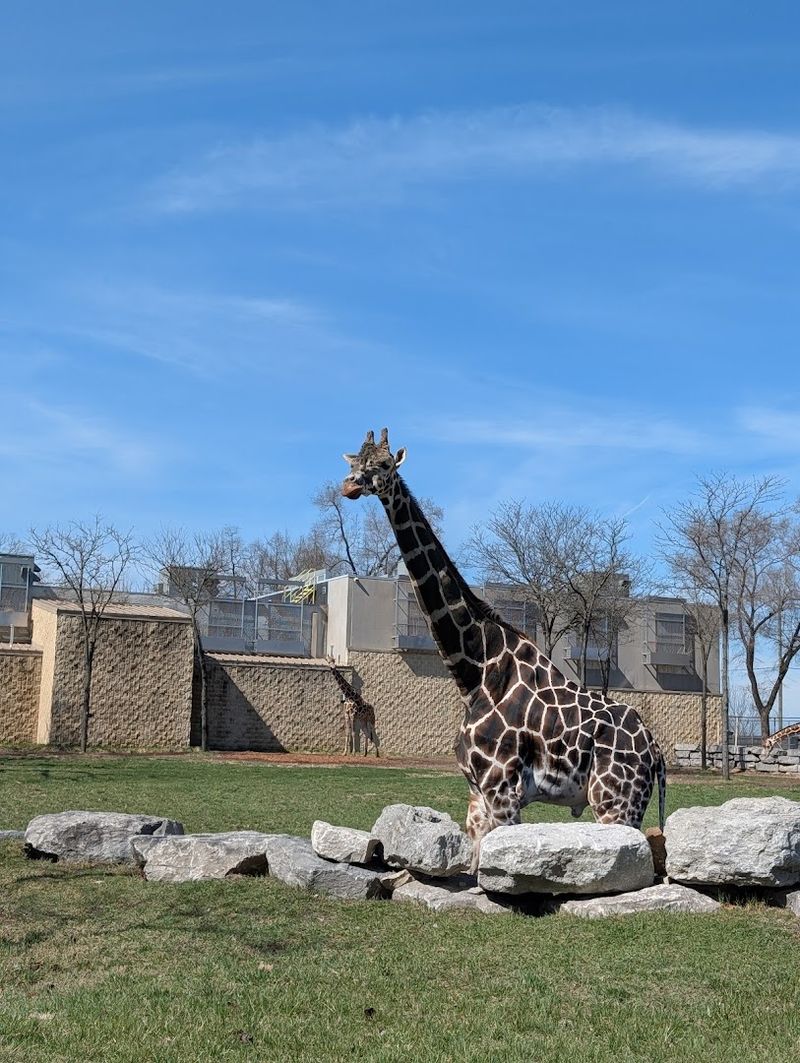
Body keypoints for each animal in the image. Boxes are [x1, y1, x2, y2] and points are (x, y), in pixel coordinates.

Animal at [341, 428, 666, 865]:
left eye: (385, 464)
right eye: (354, 462)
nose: (350, 487)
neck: (474, 672)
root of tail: (655, 750)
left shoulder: (504, 792)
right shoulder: (477, 796)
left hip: (617, 802)